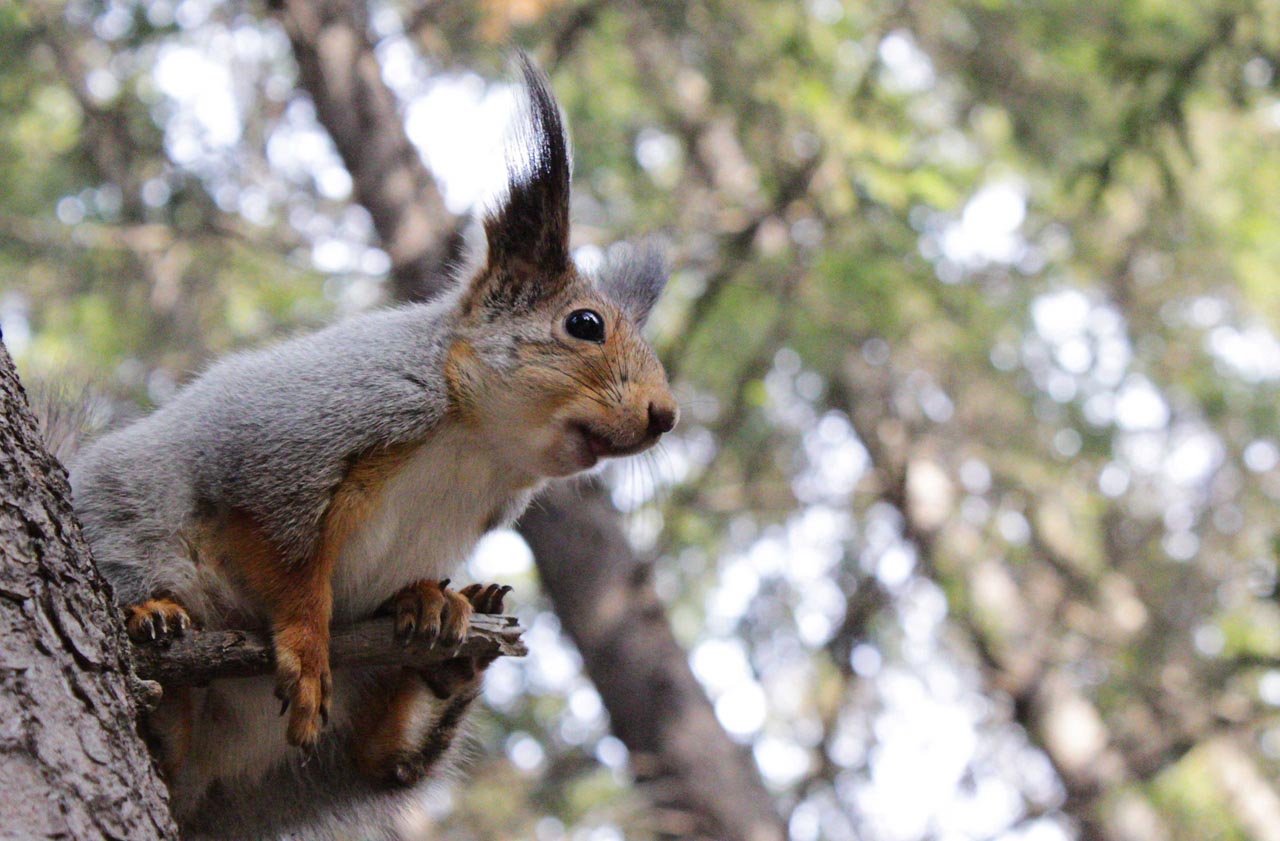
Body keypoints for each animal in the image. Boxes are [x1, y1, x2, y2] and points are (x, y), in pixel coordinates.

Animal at [67, 55, 680, 834]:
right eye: (585, 324)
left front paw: (424, 597)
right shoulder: (292, 445)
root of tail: (205, 786)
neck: (478, 445)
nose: (666, 415)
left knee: (378, 761)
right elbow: (285, 558)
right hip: (131, 537)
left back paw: (444, 668)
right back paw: (156, 633)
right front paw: (305, 644)